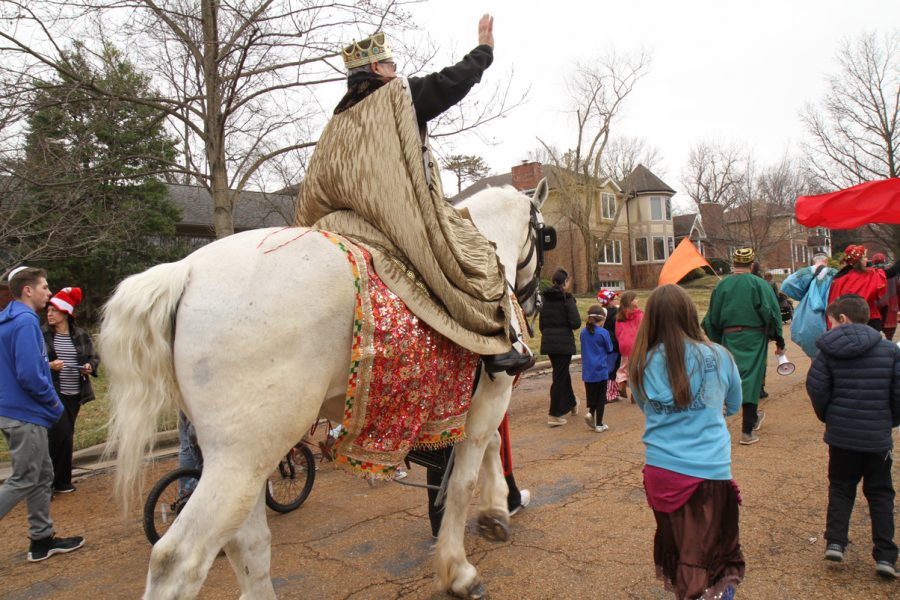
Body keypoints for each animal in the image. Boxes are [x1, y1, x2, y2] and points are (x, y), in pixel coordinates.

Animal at [98, 177, 548, 596]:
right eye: (546, 237)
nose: (533, 305)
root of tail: (186, 270)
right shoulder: (490, 395)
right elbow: (462, 480)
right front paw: (461, 567)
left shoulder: (475, 401)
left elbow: (490, 447)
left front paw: (496, 510)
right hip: (242, 456)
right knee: (179, 559)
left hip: (245, 458)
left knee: (248, 544)